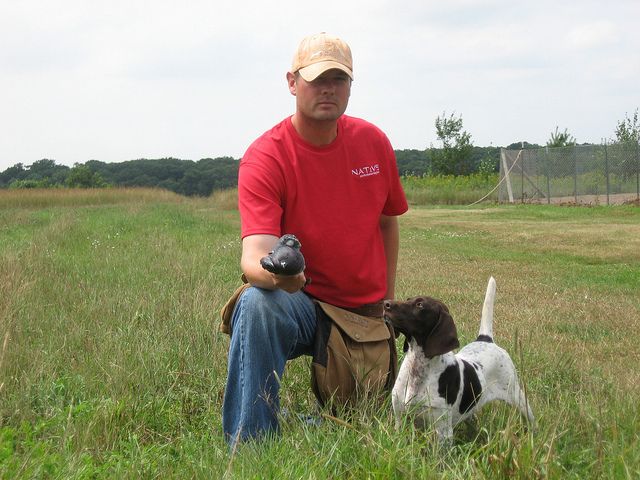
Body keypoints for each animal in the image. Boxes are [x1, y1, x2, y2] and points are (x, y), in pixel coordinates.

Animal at [384, 278, 536, 442]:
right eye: (408, 299)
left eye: (420, 305)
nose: (385, 304)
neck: (418, 366)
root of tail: (486, 339)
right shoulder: (400, 420)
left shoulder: (443, 431)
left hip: (518, 397)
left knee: (531, 419)